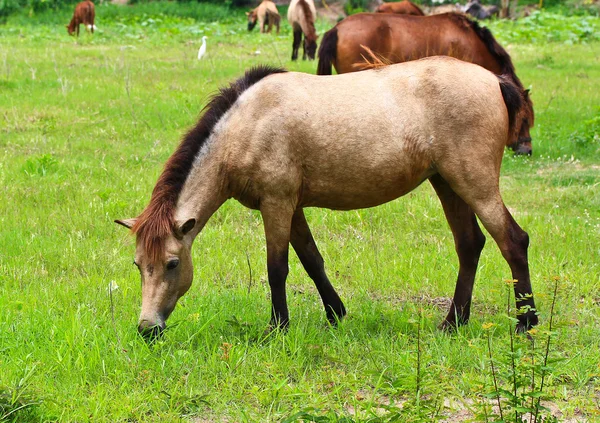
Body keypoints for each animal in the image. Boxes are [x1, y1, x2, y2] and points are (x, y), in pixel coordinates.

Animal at [117, 58, 540, 342]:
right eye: (138, 264)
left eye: (172, 264)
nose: (147, 328)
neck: (247, 125)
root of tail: (494, 80)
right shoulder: (292, 207)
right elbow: (312, 260)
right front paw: (336, 313)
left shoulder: (276, 204)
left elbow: (278, 268)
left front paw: (278, 327)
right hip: (447, 183)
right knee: (470, 245)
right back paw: (454, 323)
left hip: (474, 183)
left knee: (512, 240)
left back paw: (526, 322)